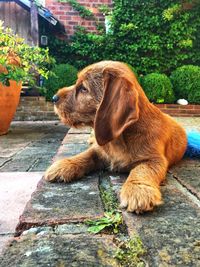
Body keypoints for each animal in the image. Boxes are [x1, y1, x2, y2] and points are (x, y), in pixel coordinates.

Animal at [44, 60, 187, 214]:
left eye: (83, 88)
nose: (53, 98)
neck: (121, 138)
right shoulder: (100, 150)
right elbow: (87, 154)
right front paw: (64, 165)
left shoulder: (156, 159)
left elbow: (142, 169)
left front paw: (137, 190)